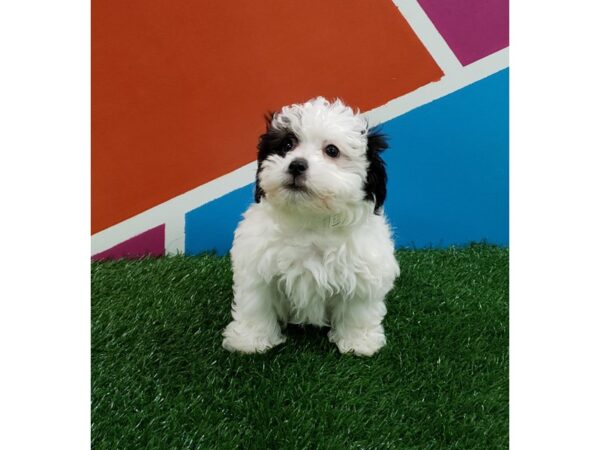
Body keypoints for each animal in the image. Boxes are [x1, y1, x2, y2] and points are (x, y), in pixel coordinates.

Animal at [223, 97, 400, 356]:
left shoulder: (364, 269)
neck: (310, 220)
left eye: (332, 150)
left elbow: (358, 307)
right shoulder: (257, 266)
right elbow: (256, 302)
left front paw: (358, 342)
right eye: (287, 144)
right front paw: (250, 340)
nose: (296, 165)